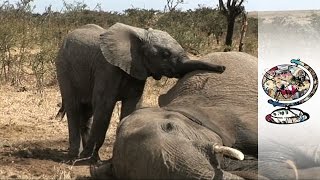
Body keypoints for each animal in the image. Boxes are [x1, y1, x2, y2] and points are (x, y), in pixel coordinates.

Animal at [55, 22, 225, 160]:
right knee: (74, 107)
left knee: (87, 111)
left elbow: (132, 106)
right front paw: (88, 159)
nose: (222, 68)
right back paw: (74, 156)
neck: (140, 34)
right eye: (165, 54)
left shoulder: (136, 69)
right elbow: (104, 107)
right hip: (63, 67)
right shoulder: (106, 68)